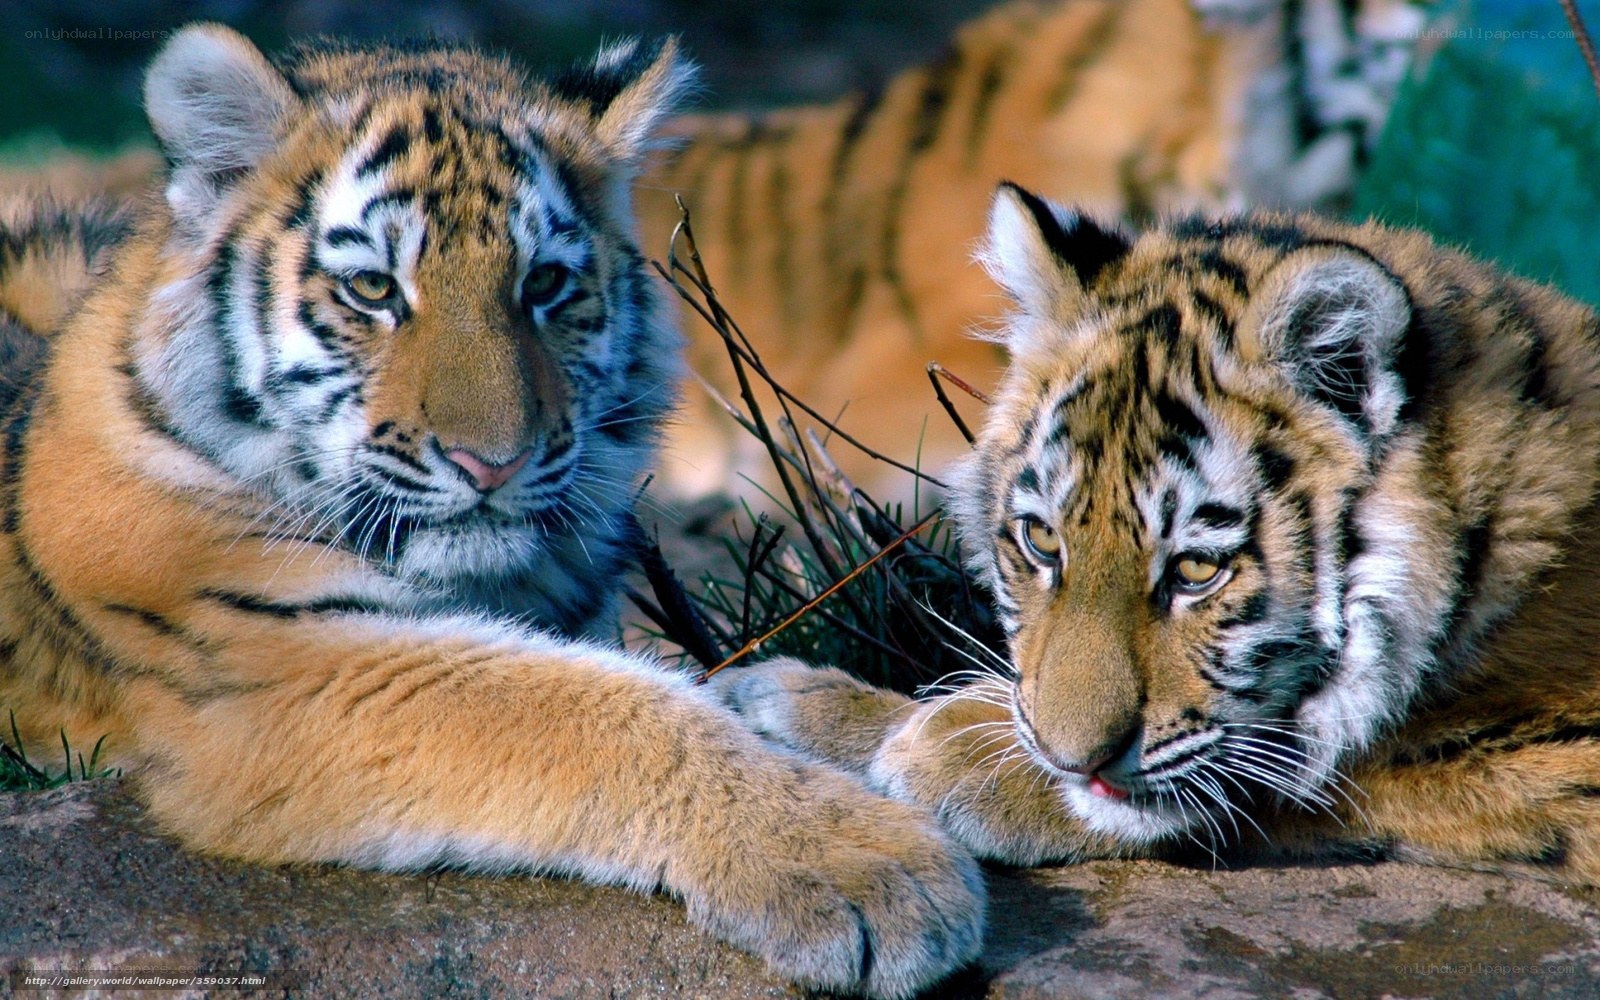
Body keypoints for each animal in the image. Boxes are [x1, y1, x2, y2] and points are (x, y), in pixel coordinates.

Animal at [0, 25, 985, 998]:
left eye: (544, 284)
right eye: (372, 289)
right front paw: (874, 867)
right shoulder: (281, 666)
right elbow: (599, 707)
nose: (493, 462)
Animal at [715, 181, 1600, 882]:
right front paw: (791, 702)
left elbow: (1325, 765)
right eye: (1042, 542)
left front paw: (946, 748)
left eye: (1197, 571)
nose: (1072, 759)